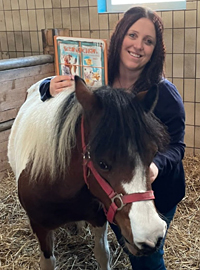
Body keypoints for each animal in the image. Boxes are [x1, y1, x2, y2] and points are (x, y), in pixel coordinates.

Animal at [8, 76, 169, 270]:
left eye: (153, 153)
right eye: (102, 163)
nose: (151, 236)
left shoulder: (98, 218)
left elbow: (102, 254)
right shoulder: (41, 228)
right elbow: (48, 261)